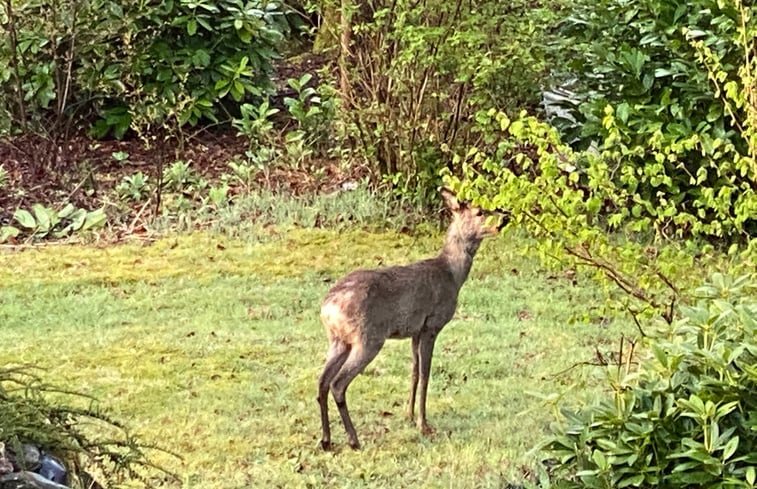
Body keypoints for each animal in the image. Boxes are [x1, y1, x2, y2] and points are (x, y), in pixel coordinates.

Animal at [316, 188, 504, 450]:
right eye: (479, 211)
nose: (504, 217)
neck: (452, 275)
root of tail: (327, 308)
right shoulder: (431, 324)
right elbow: (425, 374)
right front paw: (423, 424)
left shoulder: (414, 330)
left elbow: (414, 371)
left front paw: (408, 414)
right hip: (368, 338)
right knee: (338, 383)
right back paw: (353, 440)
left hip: (338, 340)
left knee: (322, 382)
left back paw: (326, 439)